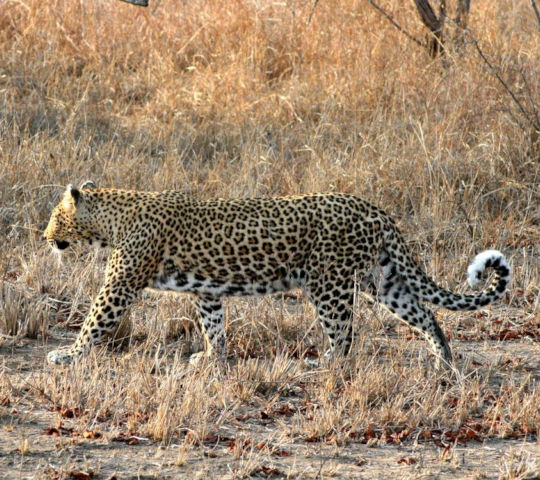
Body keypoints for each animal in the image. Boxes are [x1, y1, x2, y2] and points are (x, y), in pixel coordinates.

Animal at [43, 182, 510, 370]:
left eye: (54, 217)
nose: (45, 236)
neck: (110, 220)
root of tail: (374, 209)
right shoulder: (206, 291)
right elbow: (214, 325)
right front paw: (213, 359)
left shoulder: (119, 285)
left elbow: (94, 321)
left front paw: (67, 356)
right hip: (383, 280)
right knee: (426, 315)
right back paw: (443, 360)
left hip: (329, 282)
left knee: (345, 334)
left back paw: (325, 365)